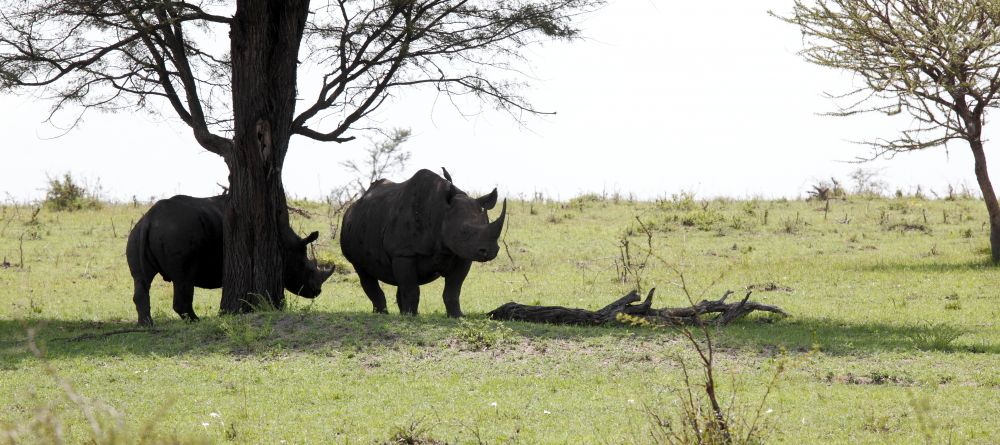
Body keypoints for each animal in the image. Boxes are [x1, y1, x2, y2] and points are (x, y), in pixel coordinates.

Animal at [126, 194, 332, 326]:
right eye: (307, 268)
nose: (317, 291)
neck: (289, 245)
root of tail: (150, 219)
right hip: (177, 234)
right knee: (183, 279)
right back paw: (195, 321)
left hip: (135, 234)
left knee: (142, 279)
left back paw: (146, 325)